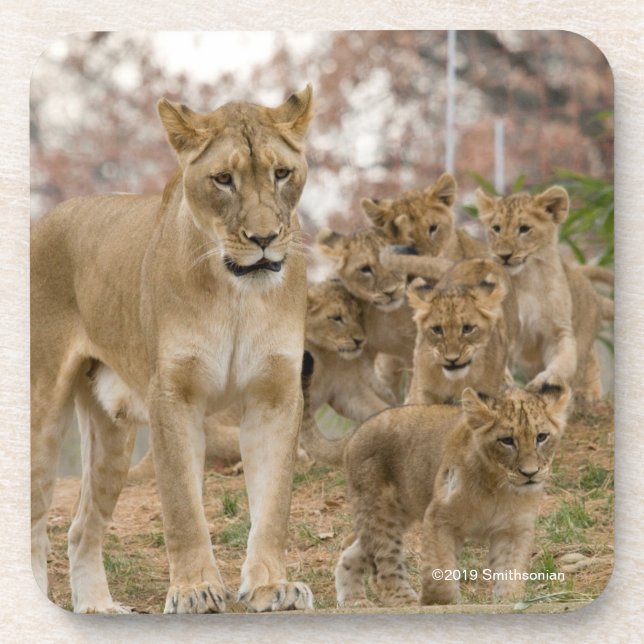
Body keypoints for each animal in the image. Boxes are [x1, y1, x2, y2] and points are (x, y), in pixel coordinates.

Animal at [31, 87, 315, 613]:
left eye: (282, 173)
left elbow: (274, 502)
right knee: (34, 520)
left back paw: (97, 606)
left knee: (81, 529)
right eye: (223, 179)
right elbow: (183, 506)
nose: (264, 239)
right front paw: (195, 590)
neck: (237, 293)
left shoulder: (275, 394)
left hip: (112, 434)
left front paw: (272, 587)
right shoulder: (174, 395)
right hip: (42, 414)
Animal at [332, 383, 570, 607]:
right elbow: (440, 571)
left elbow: (509, 572)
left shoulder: (513, 529)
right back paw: (407, 602)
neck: (499, 487)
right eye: (507, 440)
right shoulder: (439, 518)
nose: (530, 473)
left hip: (396, 515)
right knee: (383, 571)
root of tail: (356, 433)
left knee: (351, 552)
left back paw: (353, 600)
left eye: (541, 437)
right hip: (380, 513)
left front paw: (508, 601)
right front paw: (438, 603)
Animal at [475, 186, 606, 400]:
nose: (503, 255)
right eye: (496, 228)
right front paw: (501, 380)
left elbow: (564, 360)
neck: (526, 279)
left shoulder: (558, 330)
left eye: (524, 229)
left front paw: (548, 380)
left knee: (587, 361)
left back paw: (588, 393)